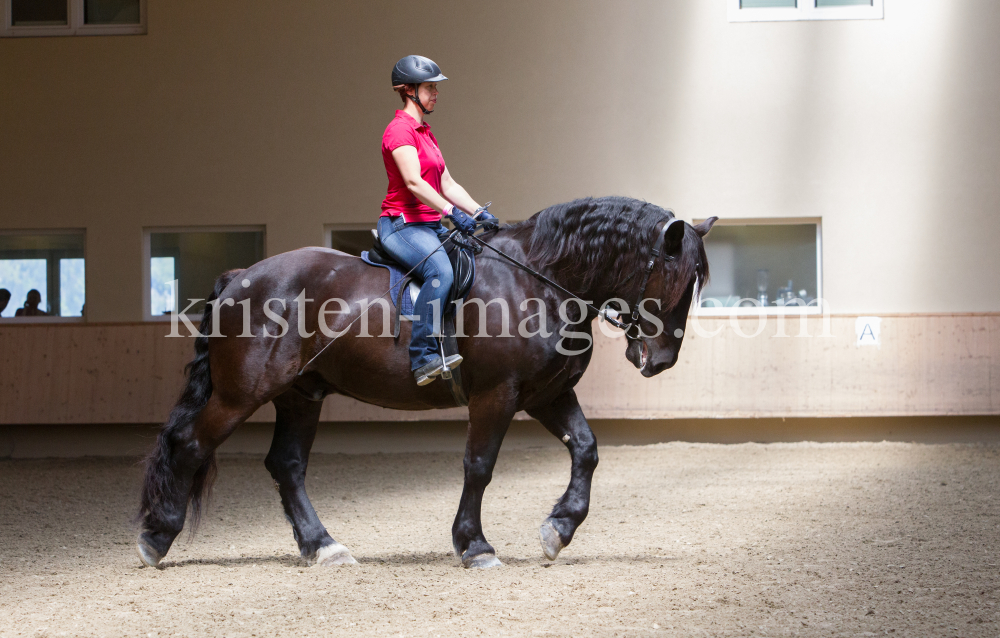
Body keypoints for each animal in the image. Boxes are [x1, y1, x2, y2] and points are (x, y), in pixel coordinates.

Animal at [139, 195, 720, 568]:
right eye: (673, 277)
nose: (662, 359)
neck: (536, 280)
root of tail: (241, 277)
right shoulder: (497, 395)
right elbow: (479, 466)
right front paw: (475, 546)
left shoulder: (546, 394)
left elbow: (587, 449)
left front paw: (558, 530)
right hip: (242, 393)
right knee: (191, 444)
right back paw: (155, 538)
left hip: (300, 395)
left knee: (286, 466)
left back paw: (323, 547)